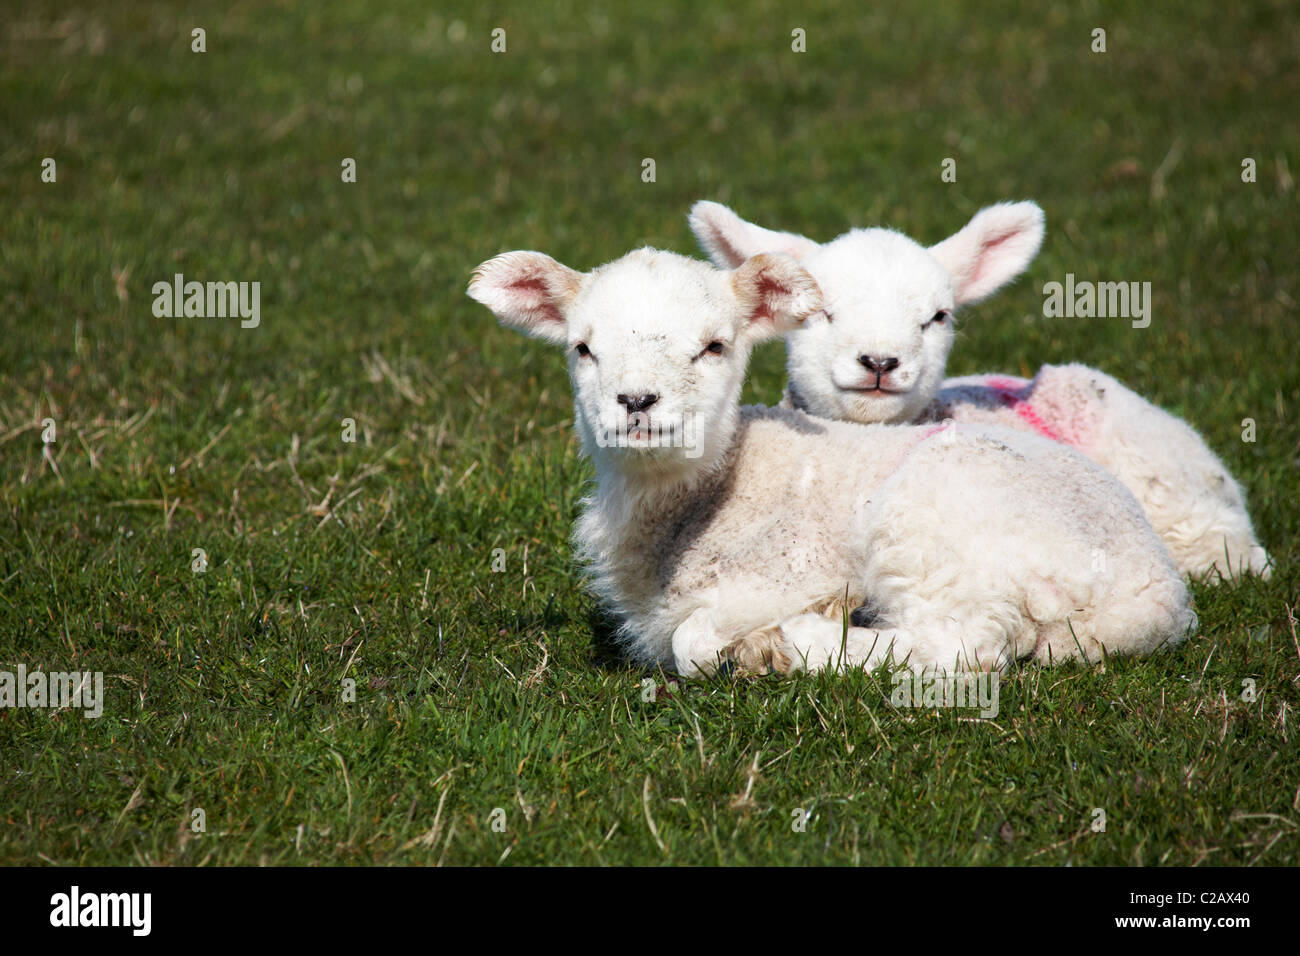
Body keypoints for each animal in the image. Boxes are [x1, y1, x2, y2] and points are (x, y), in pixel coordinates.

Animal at [470, 247, 1196, 681]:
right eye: (582, 348)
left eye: (714, 346)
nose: (637, 402)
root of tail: (1158, 592)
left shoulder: (789, 570)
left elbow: (691, 642)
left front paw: (759, 647)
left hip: (937, 525)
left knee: (962, 644)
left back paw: (806, 642)